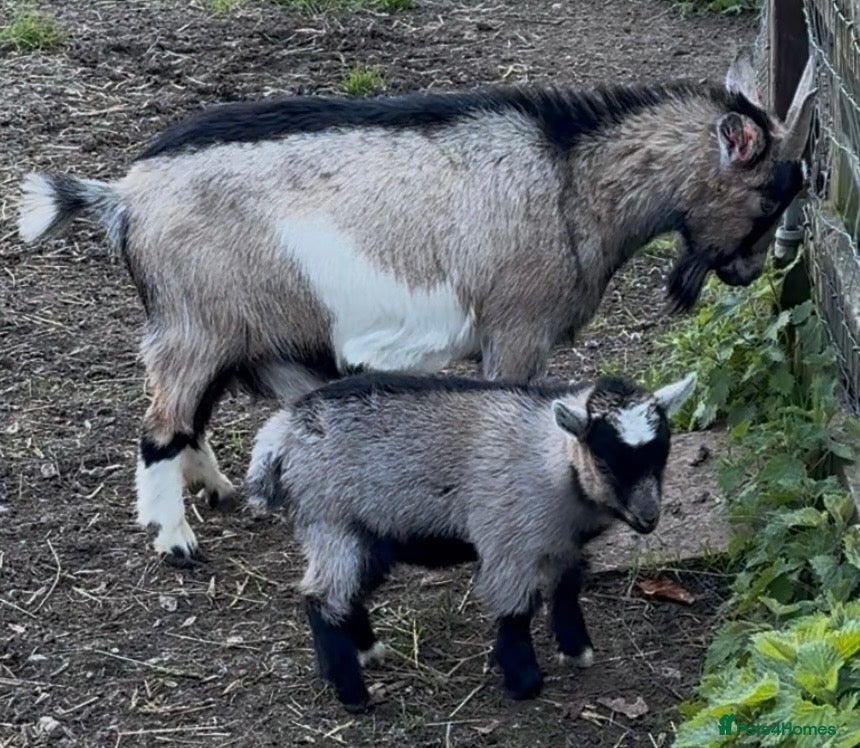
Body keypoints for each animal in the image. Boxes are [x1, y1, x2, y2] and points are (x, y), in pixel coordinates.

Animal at [16, 53, 814, 565]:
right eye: (769, 193)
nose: (749, 272)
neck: (571, 179)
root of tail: (122, 196)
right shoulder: (516, 326)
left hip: (233, 328)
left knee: (192, 414)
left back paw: (213, 488)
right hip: (196, 320)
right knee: (160, 425)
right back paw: (173, 539)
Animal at [244, 371, 696, 711]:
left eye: (662, 454)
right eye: (604, 458)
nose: (648, 519)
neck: (553, 462)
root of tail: (280, 433)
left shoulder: (562, 543)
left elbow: (567, 589)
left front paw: (577, 650)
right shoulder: (507, 541)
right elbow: (516, 609)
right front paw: (525, 680)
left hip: (365, 532)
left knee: (346, 592)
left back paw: (367, 651)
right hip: (330, 521)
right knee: (320, 599)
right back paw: (352, 693)